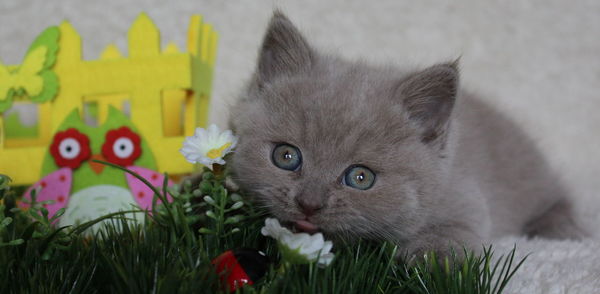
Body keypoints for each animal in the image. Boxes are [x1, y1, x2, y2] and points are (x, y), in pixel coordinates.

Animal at [229, 12, 584, 258]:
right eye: (286, 156)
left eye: (360, 177)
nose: (309, 204)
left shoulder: (463, 194)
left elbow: (459, 228)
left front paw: (434, 258)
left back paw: (560, 228)